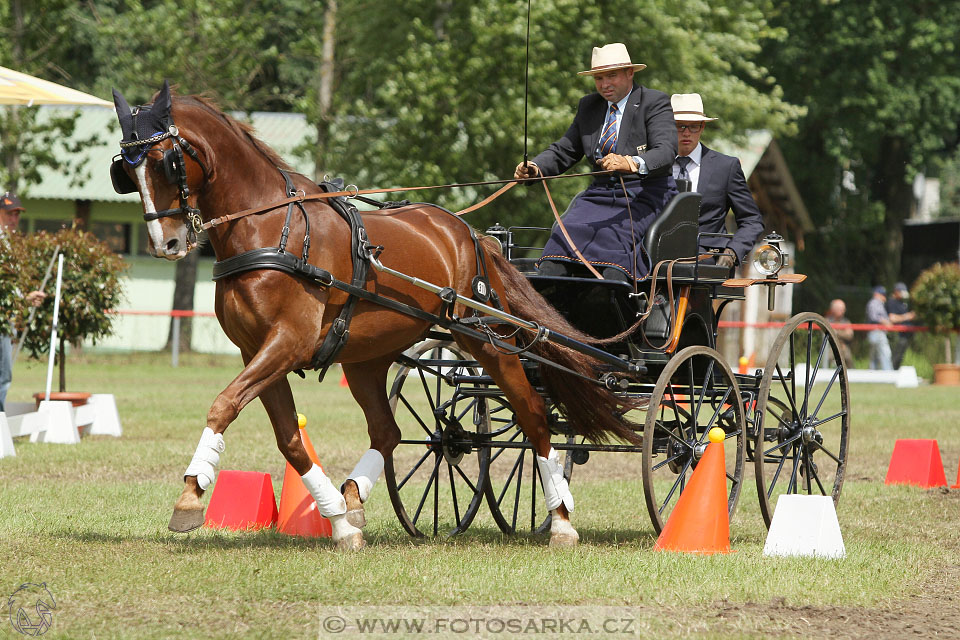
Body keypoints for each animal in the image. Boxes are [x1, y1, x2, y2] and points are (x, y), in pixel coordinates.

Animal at [112, 81, 636, 552]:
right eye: (125, 172)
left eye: (165, 162)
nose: (166, 243)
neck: (269, 226)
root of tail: (470, 235)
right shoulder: (255, 350)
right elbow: (288, 438)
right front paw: (339, 523)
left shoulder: (287, 343)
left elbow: (224, 405)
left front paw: (190, 496)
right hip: (367, 357)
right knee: (388, 431)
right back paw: (353, 499)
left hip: (489, 341)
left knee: (535, 419)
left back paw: (562, 520)